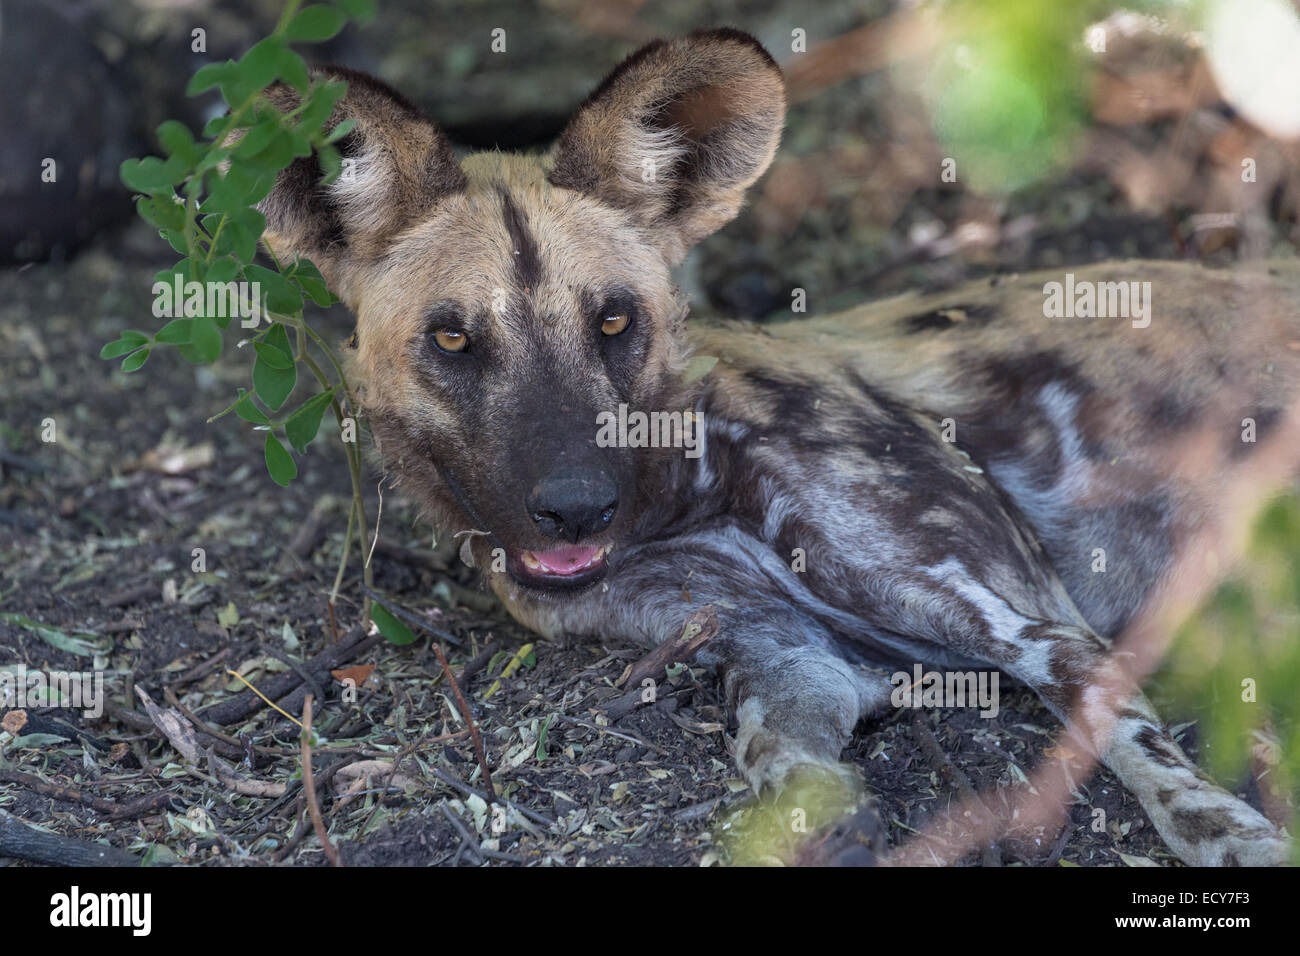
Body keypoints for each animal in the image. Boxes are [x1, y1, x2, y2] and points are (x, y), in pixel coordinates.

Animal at [253, 31, 1300, 868]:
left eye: (613, 321)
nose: (577, 504)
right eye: (453, 338)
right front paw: (824, 821)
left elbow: (1176, 792)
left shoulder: (1038, 630)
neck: (688, 507)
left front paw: (1244, 840)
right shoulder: (791, 657)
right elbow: (768, 751)